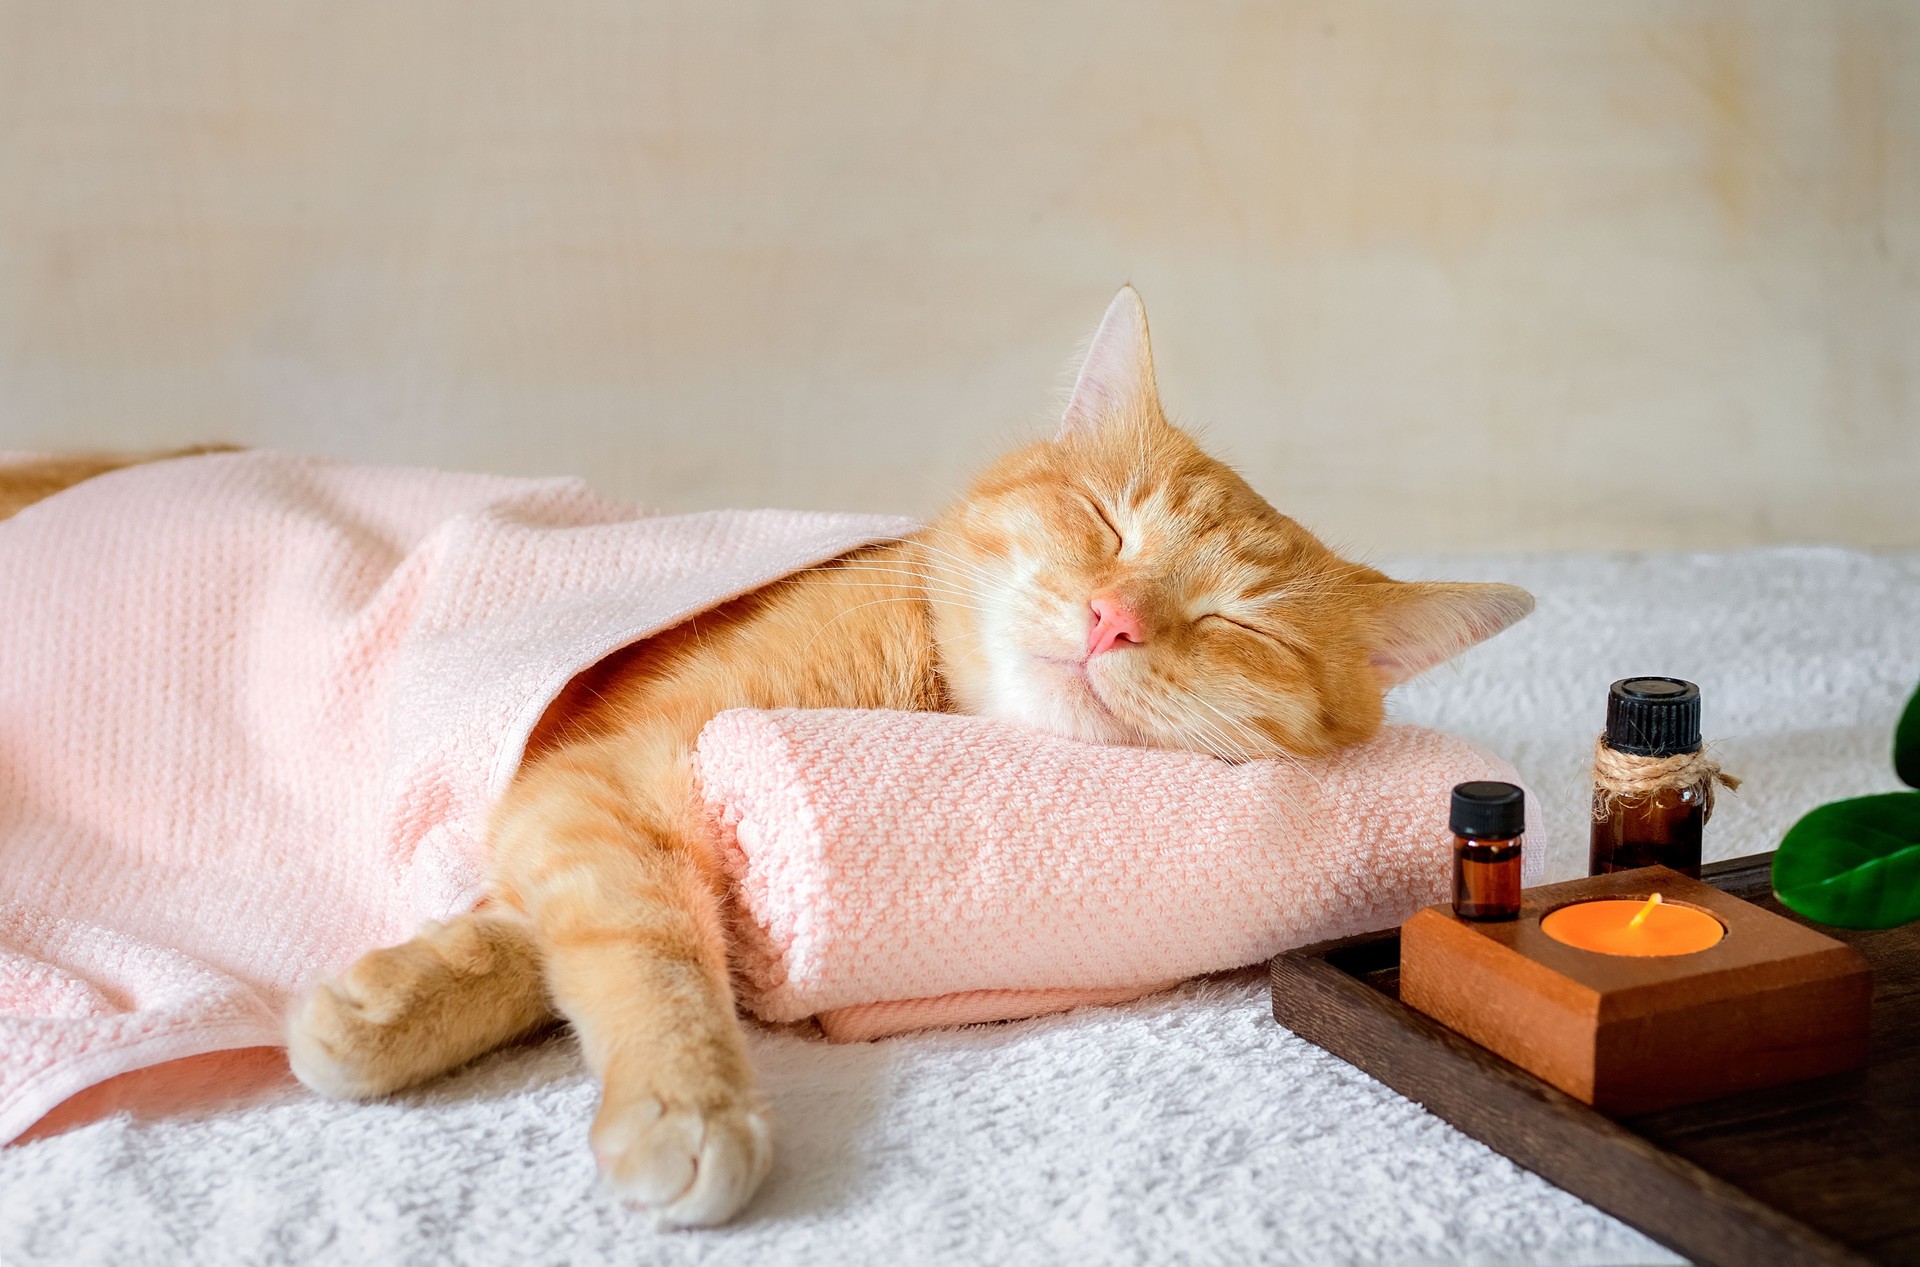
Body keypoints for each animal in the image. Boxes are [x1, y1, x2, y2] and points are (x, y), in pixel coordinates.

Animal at [0, 289, 1528, 1228]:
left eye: (1238, 625)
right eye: (1106, 518)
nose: (1113, 618)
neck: (928, 691)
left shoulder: (587, 800)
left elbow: (552, 935)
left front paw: (391, 1001)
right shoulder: (605, 772)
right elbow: (650, 948)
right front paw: (684, 1098)